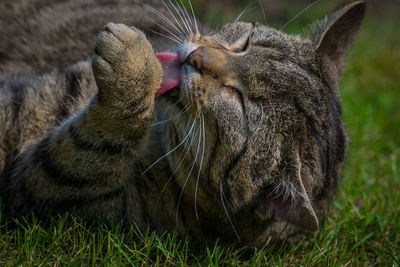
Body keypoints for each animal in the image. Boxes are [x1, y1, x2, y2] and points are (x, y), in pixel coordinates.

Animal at [0, 0, 366, 248]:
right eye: (246, 42)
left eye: (237, 99)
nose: (196, 57)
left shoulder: (52, 191)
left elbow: (80, 154)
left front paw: (134, 70)